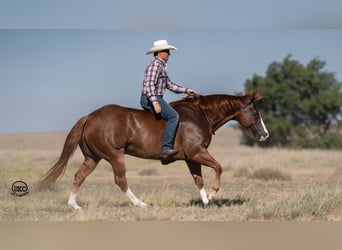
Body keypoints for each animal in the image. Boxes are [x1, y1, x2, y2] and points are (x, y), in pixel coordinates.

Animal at [38, 92, 270, 209]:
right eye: (255, 112)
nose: (265, 134)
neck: (200, 115)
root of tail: (90, 117)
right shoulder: (197, 153)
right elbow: (218, 168)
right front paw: (213, 195)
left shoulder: (191, 158)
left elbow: (198, 179)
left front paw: (206, 201)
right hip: (115, 155)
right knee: (120, 180)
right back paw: (141, 204)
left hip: (93, 158)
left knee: (79, 176)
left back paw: (74, 205)